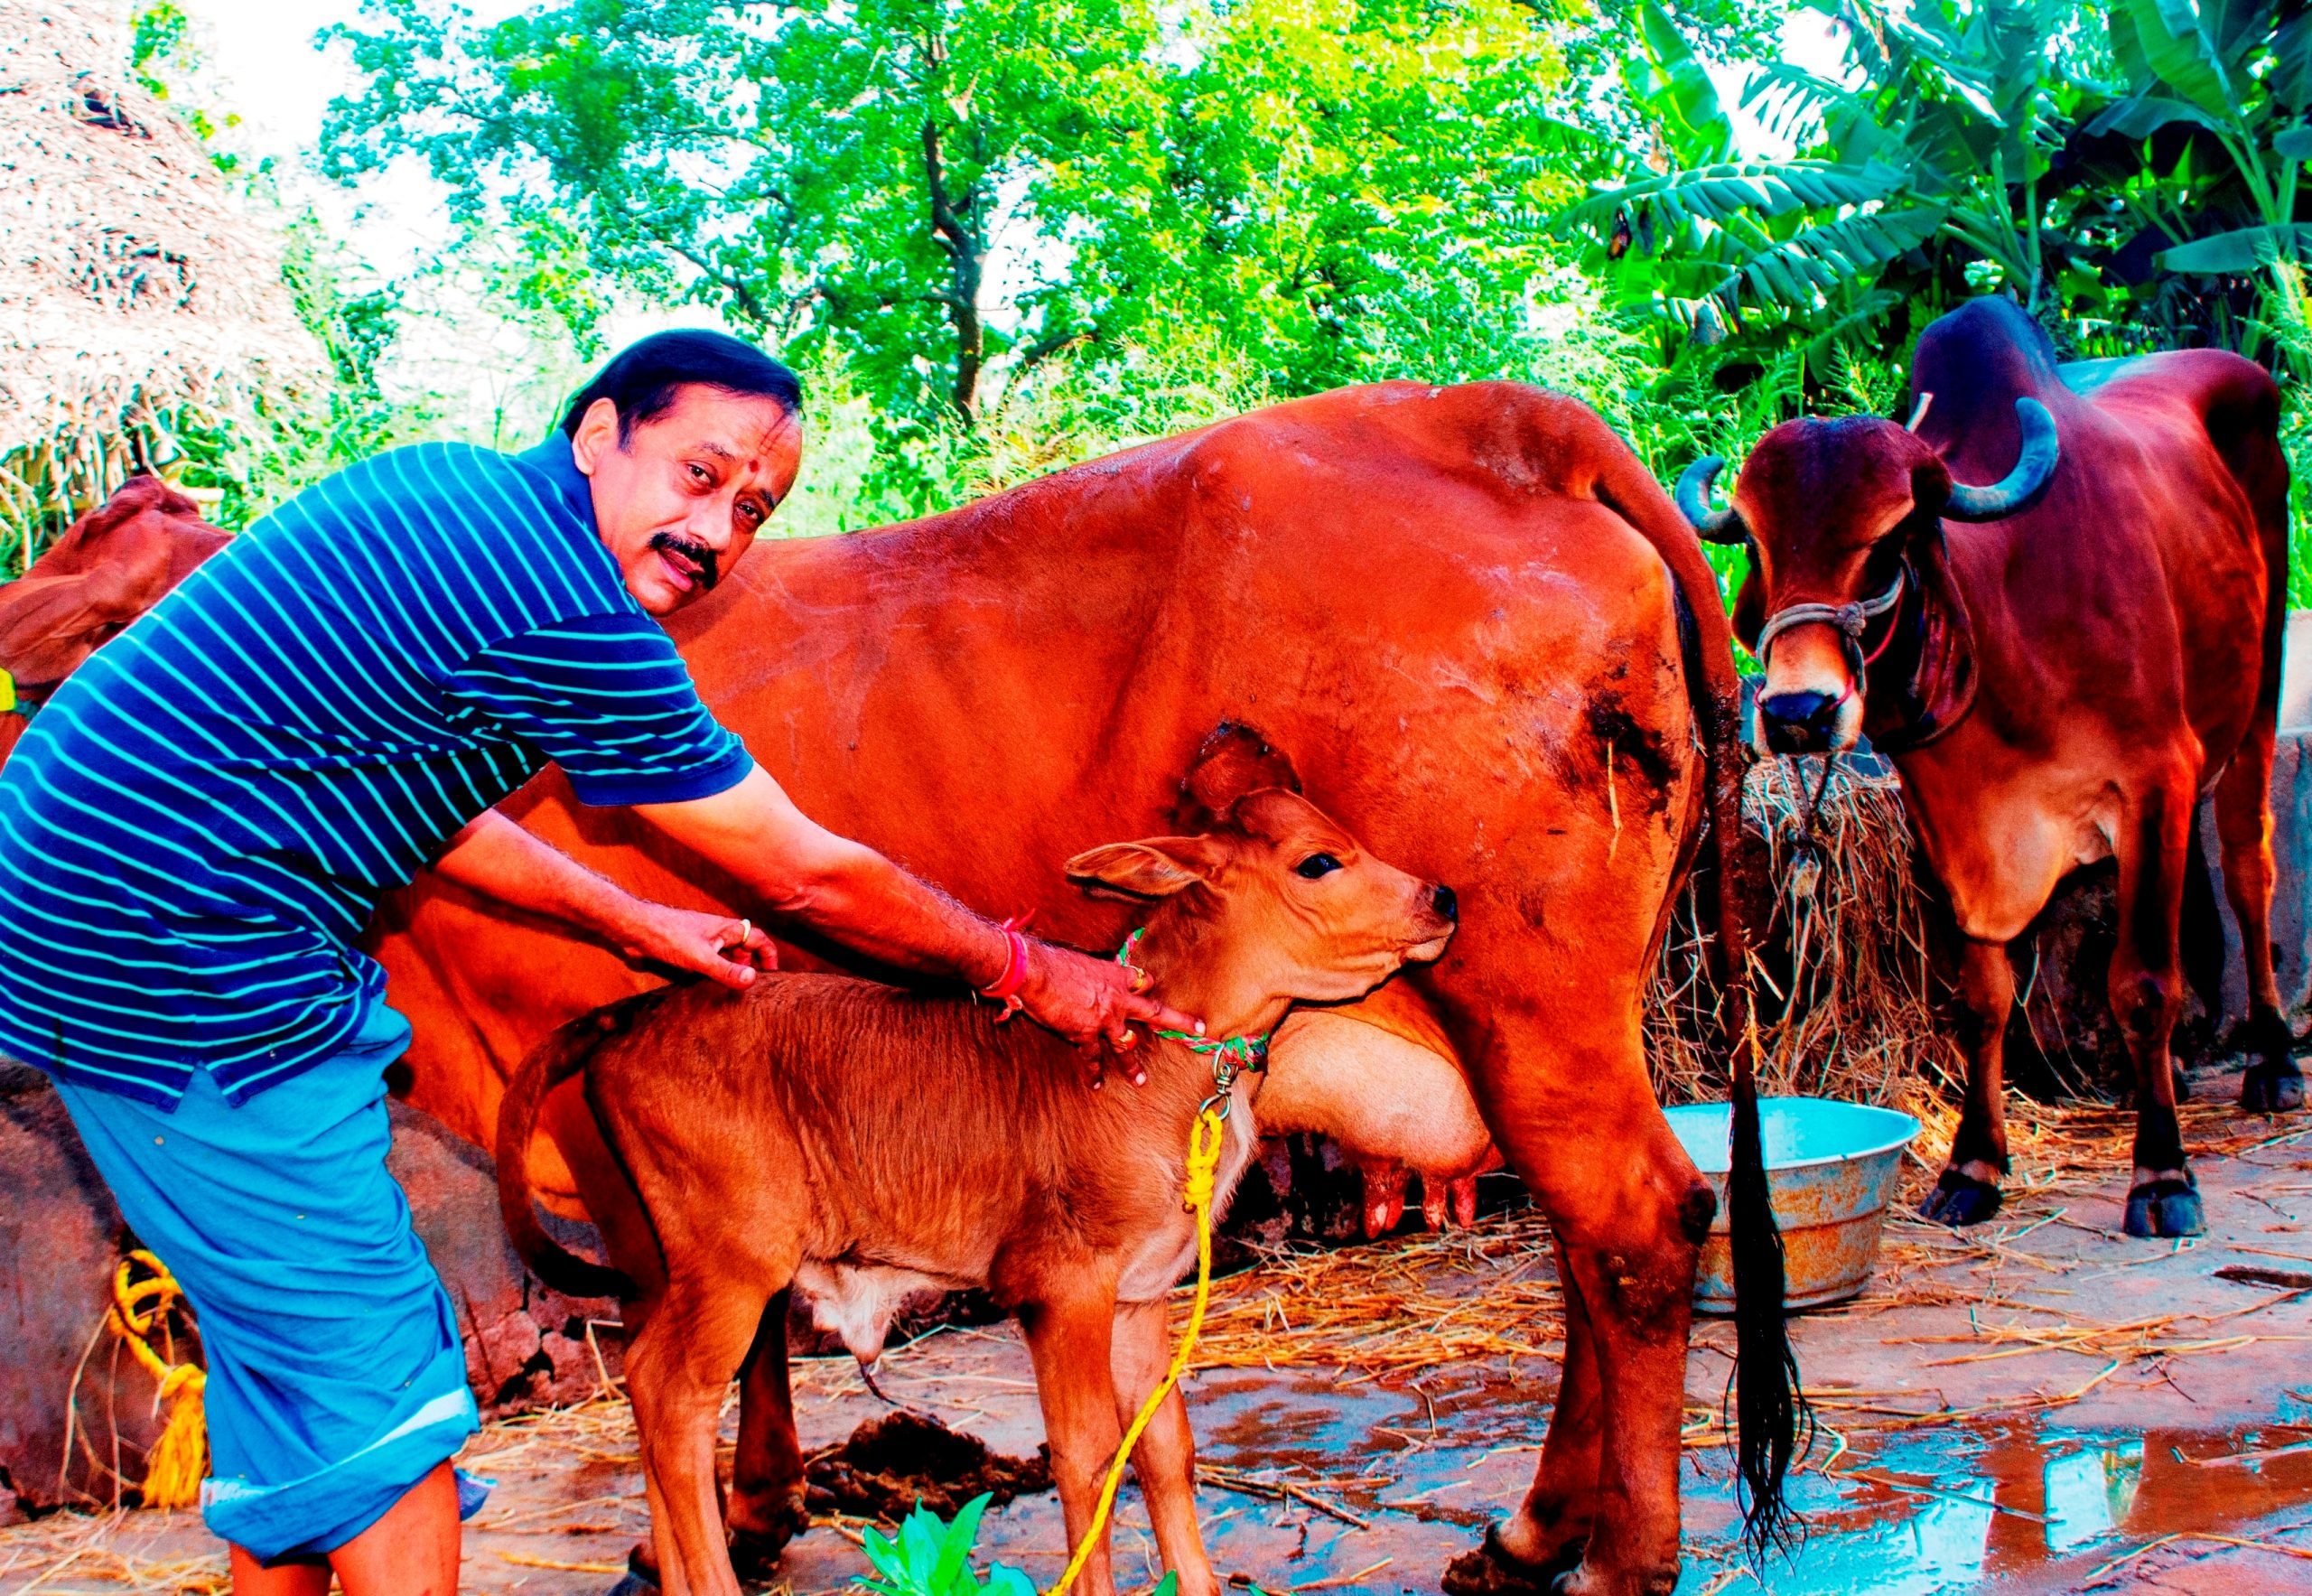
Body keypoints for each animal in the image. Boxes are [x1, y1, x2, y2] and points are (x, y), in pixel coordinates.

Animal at [499, 786, 1451, 1591]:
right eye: (1318, 861)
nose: (1441, 896)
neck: (1175, 1071)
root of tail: (632, 1014)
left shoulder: (1143, 1290)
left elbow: (1165, 1447)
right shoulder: (1062, 1285)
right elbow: (1086, 1455)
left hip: (659, 1262)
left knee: (645, 1392)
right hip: (732, 1258)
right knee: (674, 1401)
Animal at [1683, 298, 2293, 1239]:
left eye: (1893, 537)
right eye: (1751, 539)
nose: (1796, 712)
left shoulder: (2158, 776)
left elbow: (2142, 983)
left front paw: (2161, 1174)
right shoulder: (1951, 819)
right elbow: (1981, 997)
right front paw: (1973, 1165)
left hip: (2257, 693)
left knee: (2250, 868)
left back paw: (2271, 1061)